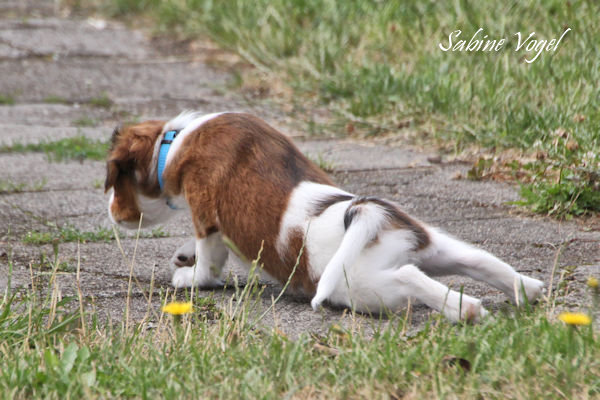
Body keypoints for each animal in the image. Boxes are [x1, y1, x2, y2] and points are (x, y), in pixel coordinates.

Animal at [105, 111, 544, 322]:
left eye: (115, 180)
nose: (111, 214)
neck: (175, 141)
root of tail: (363, 211)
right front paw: (183, 255)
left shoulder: (206, 215)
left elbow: (209, 260)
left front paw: (189, 276)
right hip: (433, 243)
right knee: (479, 260)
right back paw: (527, 289)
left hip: (365, 287)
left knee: (409, 277)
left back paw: (465, 310)